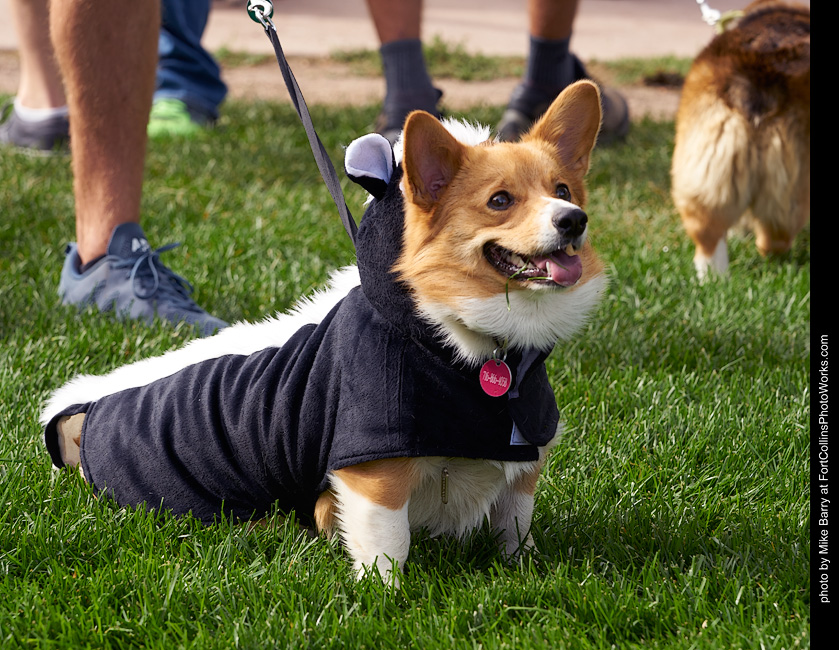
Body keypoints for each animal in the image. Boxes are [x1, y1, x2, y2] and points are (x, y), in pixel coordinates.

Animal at [41, 80, 607, 584]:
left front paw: (525, 569)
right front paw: (383, 598)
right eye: (500, 201)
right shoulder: (374, 471)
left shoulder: (522, 463)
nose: (574, 219)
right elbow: (388, 543)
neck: (460, 340)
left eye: (562, 191)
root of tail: (85, 411)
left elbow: (515, 524)